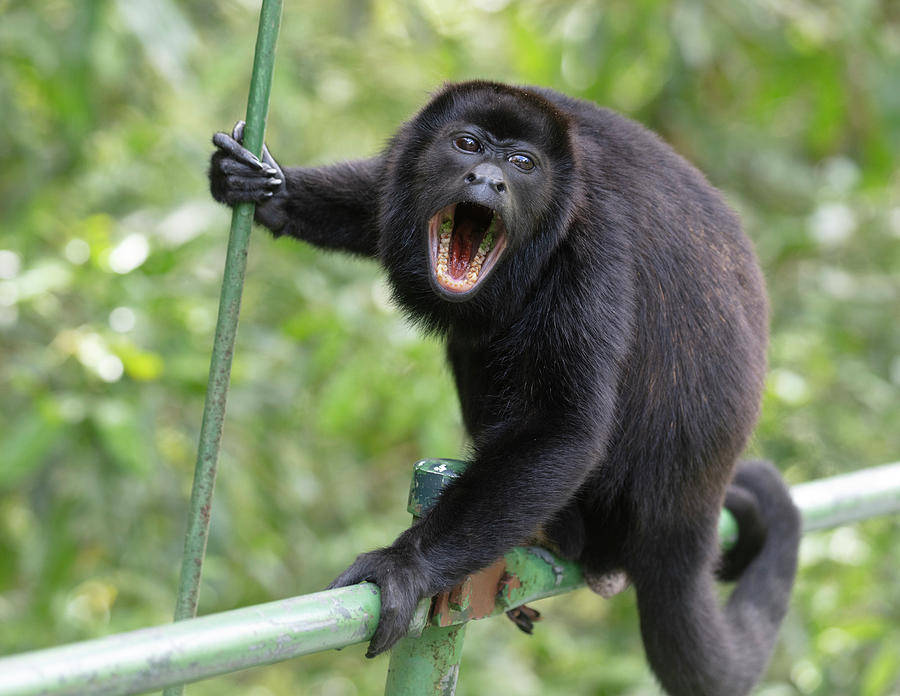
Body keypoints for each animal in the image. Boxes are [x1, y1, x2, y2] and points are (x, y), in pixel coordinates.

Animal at [211, 83, 800, 696]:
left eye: (521, 164)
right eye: (467, 145)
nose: (489, 180)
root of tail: (690, 518)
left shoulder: (593, 244)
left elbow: (562, 428)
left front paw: (405, 567)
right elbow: (371, 199)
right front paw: (266, 184)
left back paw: (562, 534)